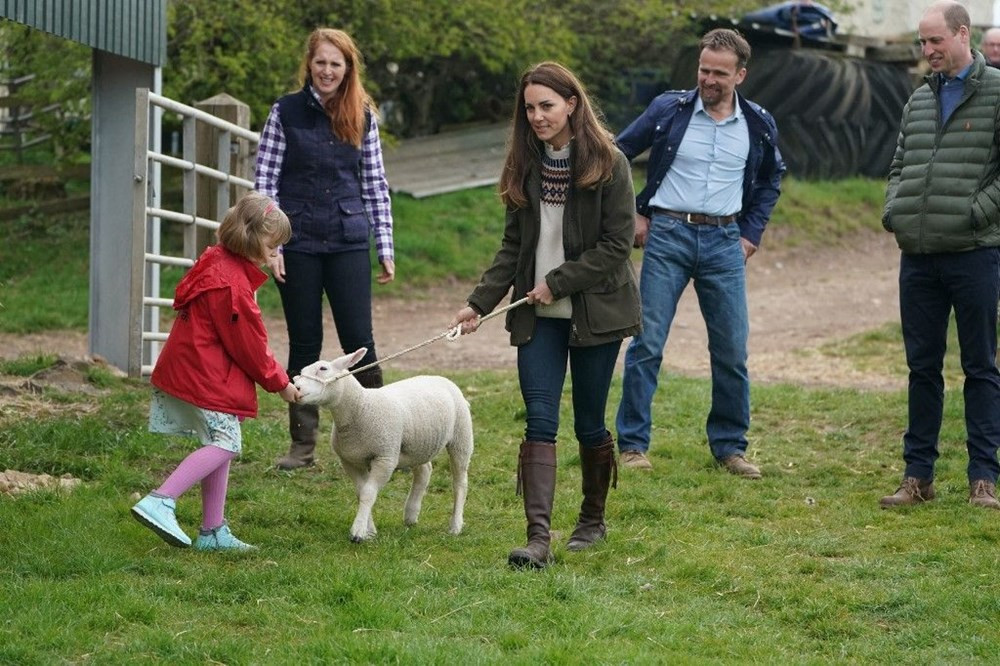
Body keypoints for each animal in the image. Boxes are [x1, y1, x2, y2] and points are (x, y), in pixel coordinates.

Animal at [292, 348, 472, 540]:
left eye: (323, 369)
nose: (296, 388)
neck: (361, 407)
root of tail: (439, 377)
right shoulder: (350, 461)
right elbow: (361, 492)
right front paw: (369, 530)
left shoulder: (385, 458)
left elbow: (368, 493)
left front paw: (358, 532)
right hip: (418, 444)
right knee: (424, 471)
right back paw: (411, 514)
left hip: (461, 436)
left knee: (460, 482)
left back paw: (455, 525)